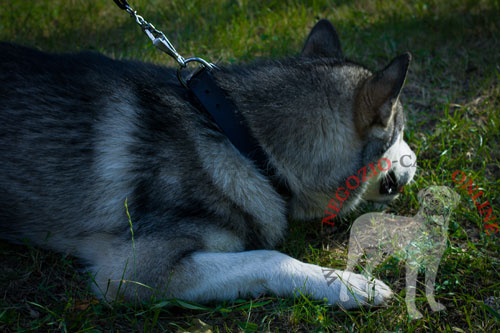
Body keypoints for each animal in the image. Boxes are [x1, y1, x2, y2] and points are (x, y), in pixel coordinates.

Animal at [0, 19, 416, 308]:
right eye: (399, 131)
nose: (416, 161)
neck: (244, 140)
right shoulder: (131, 273)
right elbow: (269, 258)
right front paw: (350, 285)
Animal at [340, 185, 460, 318]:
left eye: (445, 196)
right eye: (428, 195)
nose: (435, 201)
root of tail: (359, 217)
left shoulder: (433, 264)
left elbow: (430, 288)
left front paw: (433, 305)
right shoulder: (412, 263)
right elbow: (411, 290)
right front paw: (413, 312)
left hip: (376, 255)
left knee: (365, 272)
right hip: (356, 252)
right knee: (347, 272)